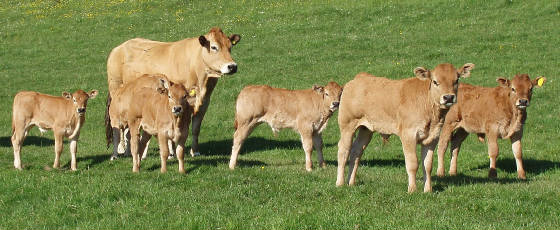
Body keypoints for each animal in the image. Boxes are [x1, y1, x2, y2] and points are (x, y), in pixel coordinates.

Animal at [106, 26, 242, 156]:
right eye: (214, 47)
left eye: (230, 47)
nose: (232, 66)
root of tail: (119, 48)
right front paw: (172, 151)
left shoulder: (204, 101)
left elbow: (196, 128)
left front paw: (195, 151)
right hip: (116, 92)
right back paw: (122, 148)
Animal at [334, 63, 474, 192]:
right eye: (435, 81)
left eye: (456, 80)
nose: (448, 97)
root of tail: (360, 77)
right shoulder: (408, 135)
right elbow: (413, 163)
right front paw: (412, 189)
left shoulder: (432, 138)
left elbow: (427, 165)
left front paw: (428, 190)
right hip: (347, 125)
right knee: (343, 151)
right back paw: (340, 183)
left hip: (366, 129)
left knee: (356, 151)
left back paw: (351, 182)